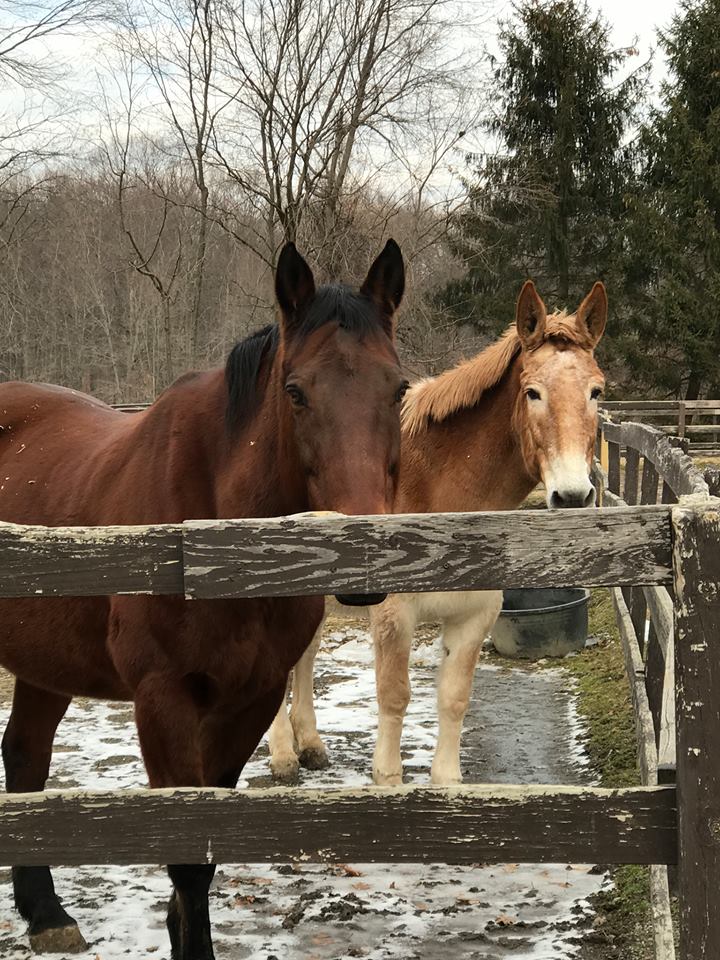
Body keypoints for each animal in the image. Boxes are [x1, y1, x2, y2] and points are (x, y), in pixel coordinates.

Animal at [0, 238, 408, 952]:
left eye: (400, 388)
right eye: (295, 392)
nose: (361, 562)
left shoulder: (251, 698)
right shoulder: (163, 700)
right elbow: (189, 862)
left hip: (44, 661)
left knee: (25, 757)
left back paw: (46, 913)